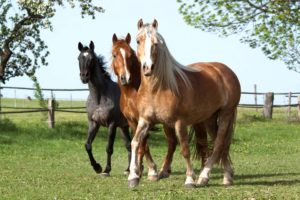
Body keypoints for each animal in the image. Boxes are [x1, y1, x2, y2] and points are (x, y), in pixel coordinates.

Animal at [77, 41, 131, 176]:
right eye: (79, 58)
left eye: (91, 59)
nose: (84, 77)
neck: (99, 97)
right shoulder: (94, 123)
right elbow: (87, 145)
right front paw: (97, 167)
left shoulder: (112, 124)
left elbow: (109, 148)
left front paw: (106, 170)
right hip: (124, 127)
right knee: (129, 145)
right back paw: (128, 169)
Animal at [110, 34, 211, 183]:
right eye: (114, 55)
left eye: (130, 55)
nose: (126, 78)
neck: (132, 92)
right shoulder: (132, 122)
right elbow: (140, 144)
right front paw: (138, 170)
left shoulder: (144, 120)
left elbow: (143, 145)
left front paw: (150, 170)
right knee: (174, 142)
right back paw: (166, 169)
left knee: (198, 142)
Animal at [127, 19, 241, 188]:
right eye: (138, 41)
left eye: (156, 43)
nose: (147, 67)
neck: (157, 89)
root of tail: (226, 71)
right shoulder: (145, 120)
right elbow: (135, 142)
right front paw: (133, 177)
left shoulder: (179, 123)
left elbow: (185, 149)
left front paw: (189, 180)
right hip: (210, 118)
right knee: (218, 145)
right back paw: (226, 176)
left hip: (226, 114)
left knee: (219, 144)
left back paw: (204, 176)